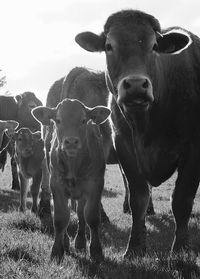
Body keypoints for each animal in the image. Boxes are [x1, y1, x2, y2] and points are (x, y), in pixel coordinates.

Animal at [32, 99, 111, 264]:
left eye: (83, 120)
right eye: (58, 120)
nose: (71, 141)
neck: (74, 165)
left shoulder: (96, 185)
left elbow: (92, 217)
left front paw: (96, 251)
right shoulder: (56, 185)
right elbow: (61, 218)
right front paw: (57, 251)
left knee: (81, 213)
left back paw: (80, 242)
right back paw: (66, 242)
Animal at [75, 8, 200, 258]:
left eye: (154, 45)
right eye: (109, 45)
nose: (135, 85)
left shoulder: (194, 150)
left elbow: (182, 200)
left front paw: (180, 249)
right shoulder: (125, 147)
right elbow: (138, 198)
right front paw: (135, 247)